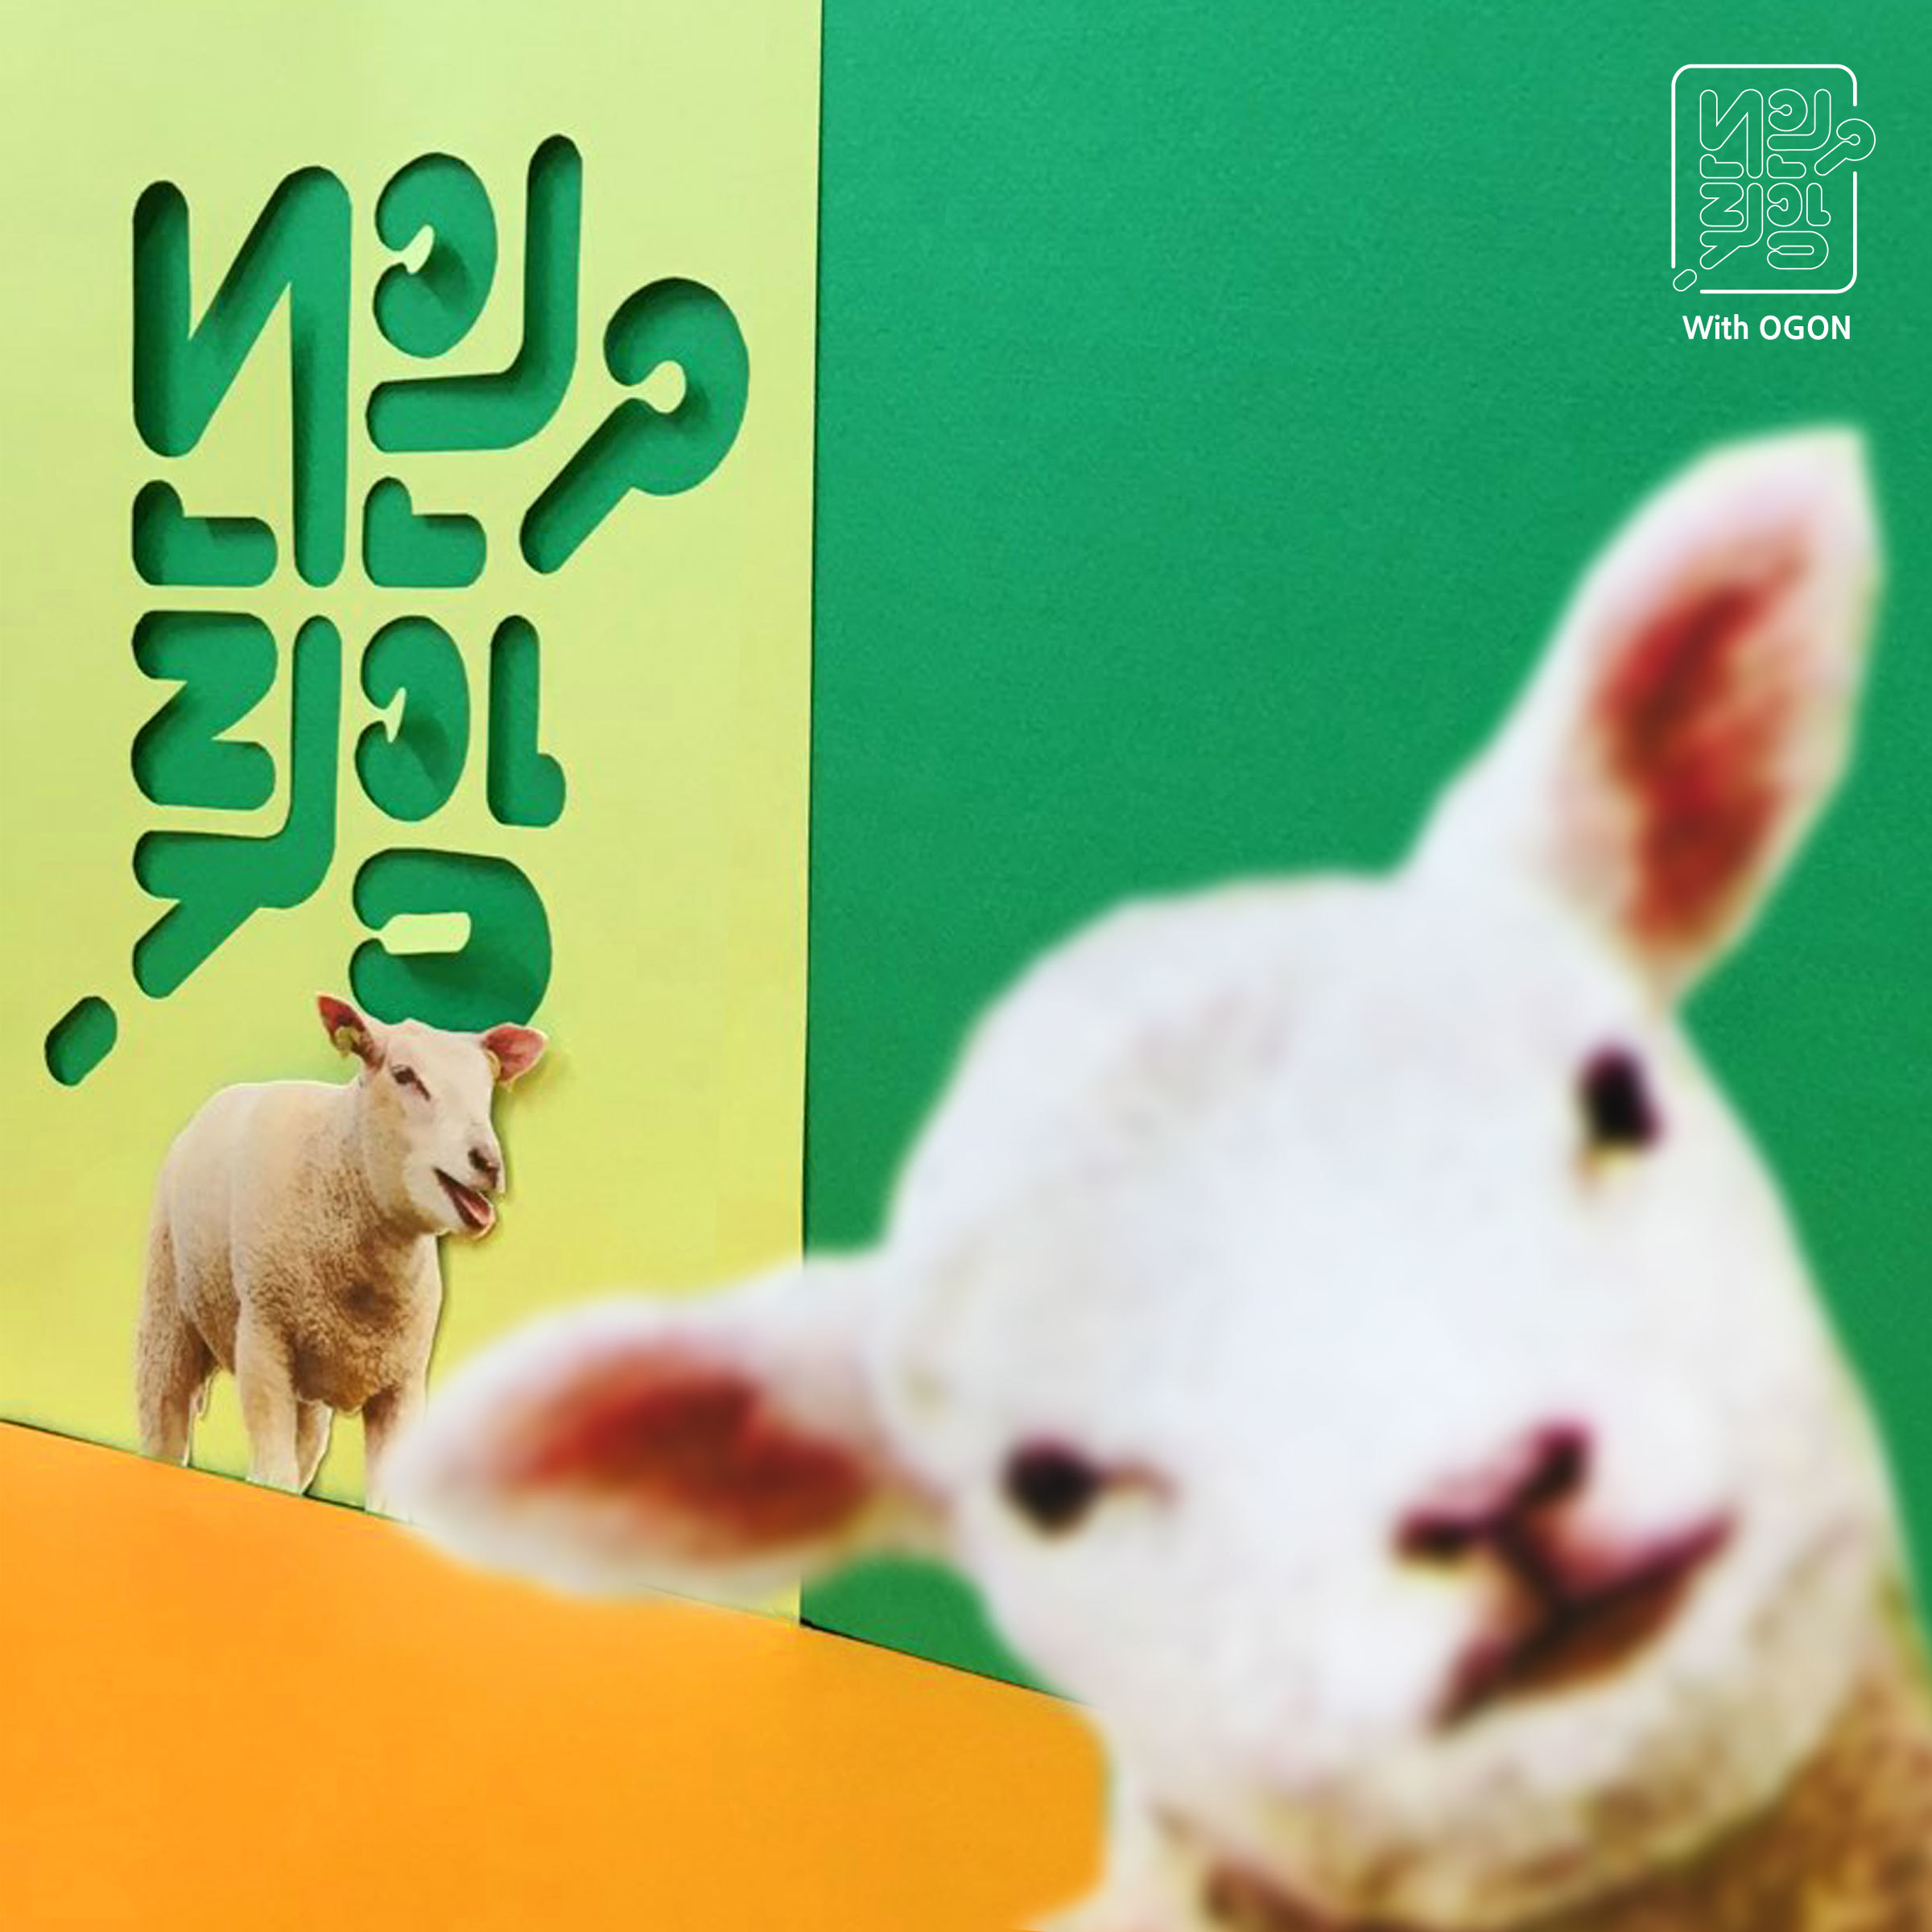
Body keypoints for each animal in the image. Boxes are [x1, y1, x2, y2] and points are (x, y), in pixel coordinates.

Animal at [136, 996, 545, 1510]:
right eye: (404, 1074)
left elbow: (386, 1503)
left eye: (488, 1084)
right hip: (169, 1313)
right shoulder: (263, 1340)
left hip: (308, 1390)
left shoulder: (403, 1381)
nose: (488, 1163)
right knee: (163, 1424)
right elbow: (271, 1477)